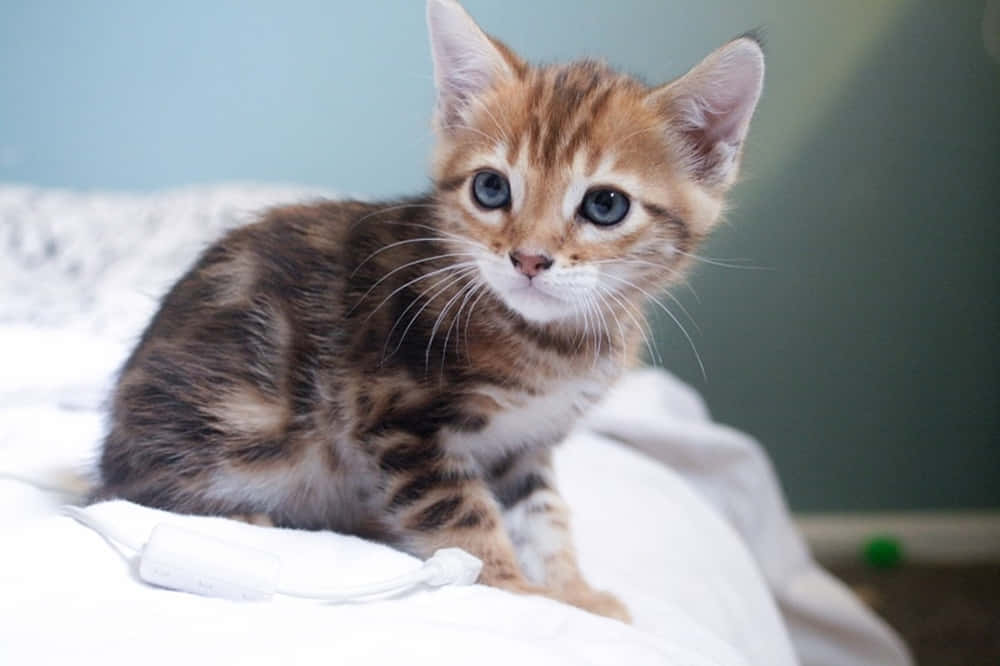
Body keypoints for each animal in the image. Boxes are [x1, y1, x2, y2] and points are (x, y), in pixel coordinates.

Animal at [95, 1, 764, 624]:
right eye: (491, 189)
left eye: (605, 205)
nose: (529, 258)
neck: (549, 344)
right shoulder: (396, 417)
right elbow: (462, 514)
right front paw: (517, 589)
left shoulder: (528, 444)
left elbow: (544, 514)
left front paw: (573, 591)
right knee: (143, 495)